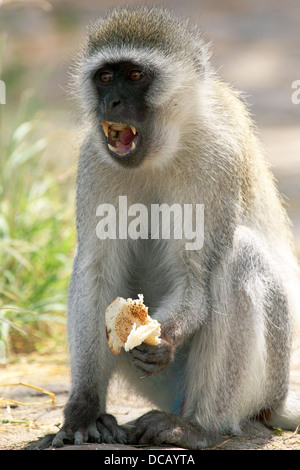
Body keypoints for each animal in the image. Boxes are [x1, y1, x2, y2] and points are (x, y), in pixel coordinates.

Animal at [50, 6, 300, 448]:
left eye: (135, 75)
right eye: (105, 77)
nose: (112, 102)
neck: (164, 149)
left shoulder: (217, 159)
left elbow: (194, 278)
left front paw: (163, 335)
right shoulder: (95, 160)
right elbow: (96, 271)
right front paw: (83, 409)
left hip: (270, 380)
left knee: (240, 256)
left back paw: (198, 426)